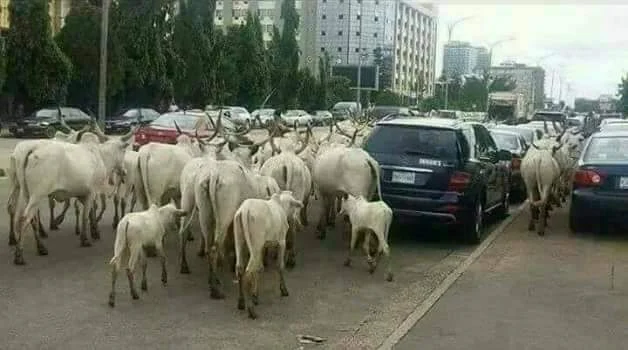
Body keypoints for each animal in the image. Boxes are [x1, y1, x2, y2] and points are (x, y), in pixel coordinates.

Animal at [234, 191, 306, 320]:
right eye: (293, 205)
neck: (281, 206)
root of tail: (245, 209)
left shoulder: (263, 246)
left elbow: (259, 269)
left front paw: (255, 295)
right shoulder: (281, 242)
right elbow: (280, 266)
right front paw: (283, 290)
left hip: (239, 240)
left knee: (240, 269)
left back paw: (241, 302)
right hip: (255, 244)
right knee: (248, 273)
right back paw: (251, 311)